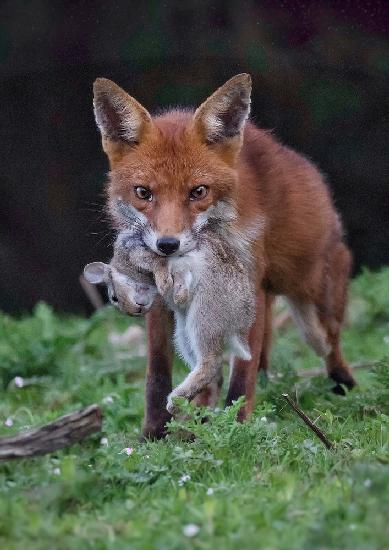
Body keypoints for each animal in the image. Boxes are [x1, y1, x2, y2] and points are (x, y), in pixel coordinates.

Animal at [93, 72, 354, 440]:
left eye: (198, 192)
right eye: (143, 193)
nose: (167, 245)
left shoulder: (248, 287)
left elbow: (241, 377)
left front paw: (238, 429)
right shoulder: (158, 299)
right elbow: (157, 372)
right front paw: (153, 434)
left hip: (309, 302)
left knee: (326, 340)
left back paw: (345, 383)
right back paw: (200, 415)